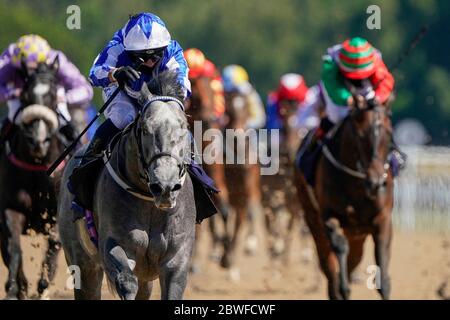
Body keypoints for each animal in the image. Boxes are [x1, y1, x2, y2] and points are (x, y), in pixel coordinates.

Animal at [0, 58, 65, 300]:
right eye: (25, 95)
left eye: (54, 94)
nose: (38, 141)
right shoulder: (11, 209)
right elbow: (14, 248)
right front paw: (14, 288)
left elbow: (55, 244)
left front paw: (43, 286)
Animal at [57, 73, 195, 300]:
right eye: (145, 129)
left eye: (184, 128)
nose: (165, 187)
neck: (150, 204)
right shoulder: (114, 244)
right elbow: (126, 281)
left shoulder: (177, 256)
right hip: (82, 262)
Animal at [296, 95, 394, 300]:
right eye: (361, 135)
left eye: (388, 133)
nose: (376, 181)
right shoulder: (329, 216)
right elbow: (339, 248)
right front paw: (342, 288)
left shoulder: (383, 218)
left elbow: (382, 266)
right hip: (313, 219)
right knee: (327, 261)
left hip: (358, 234)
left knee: (353, 259)